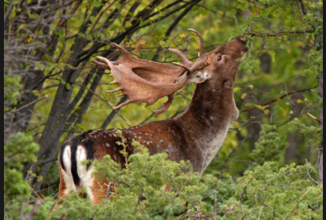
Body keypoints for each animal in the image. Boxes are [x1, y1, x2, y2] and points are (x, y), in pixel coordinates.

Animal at [58, 29, 247, 205]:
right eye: (219, 57)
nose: (242, 38)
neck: (203, 146)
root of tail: (75, 144)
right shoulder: (180, 183)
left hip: (65, 187)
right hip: (106, 184)